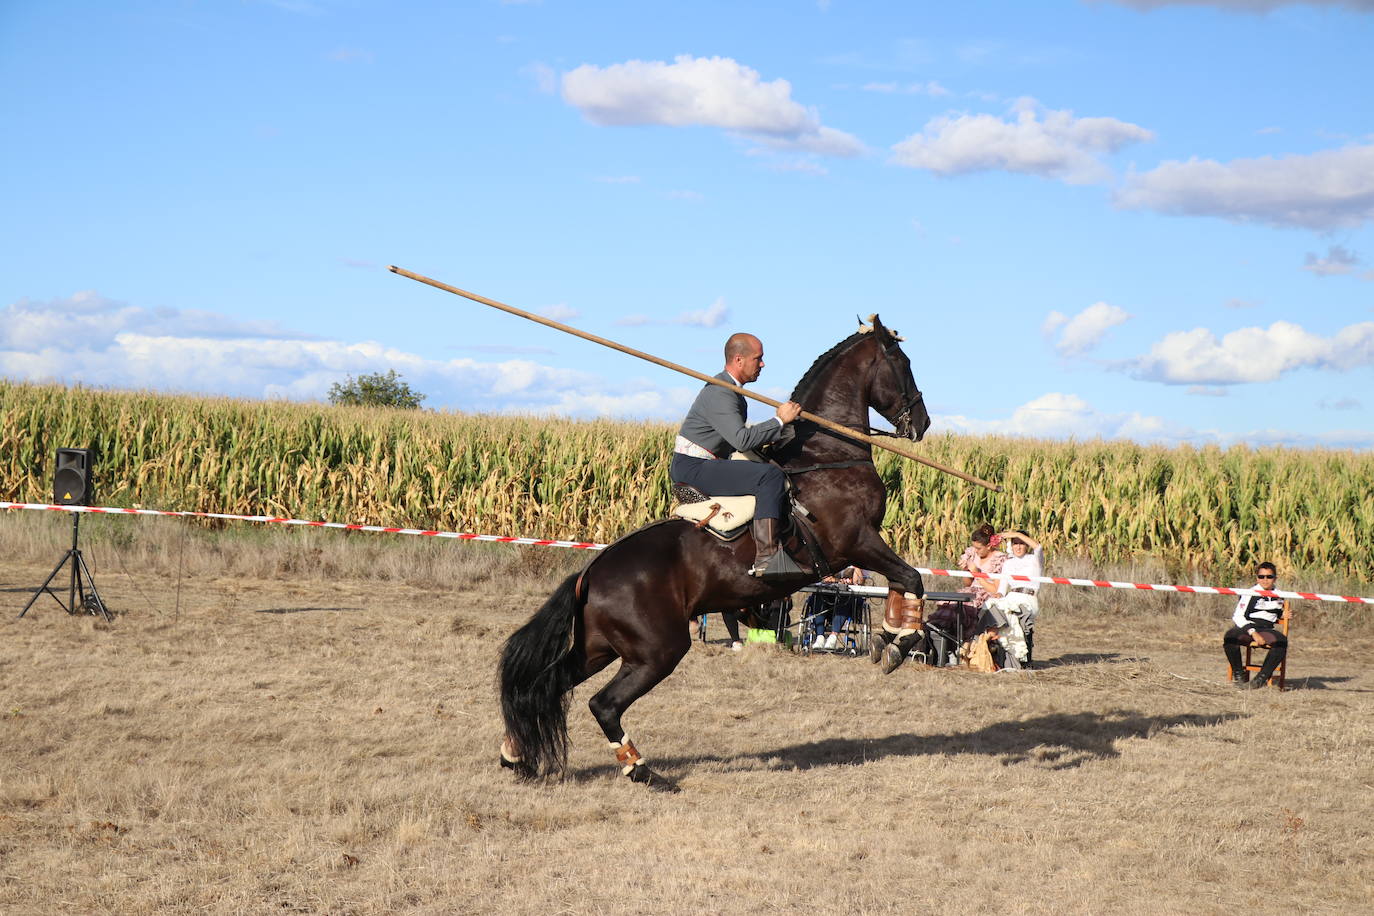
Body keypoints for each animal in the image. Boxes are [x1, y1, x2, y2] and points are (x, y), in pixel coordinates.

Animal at [497, 315, 934, 791]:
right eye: (904, 364)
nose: (923, 423)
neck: (826, 456)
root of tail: (591, 572)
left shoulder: (863, 546)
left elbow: (901, 581)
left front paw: (889, 635)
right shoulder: (857, 541)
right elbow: (911, 578)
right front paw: (900, 642)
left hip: (600, 647)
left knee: (544, 687)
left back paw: (515, 754)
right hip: (658, 650)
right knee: (603, 704)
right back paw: (641, 769)